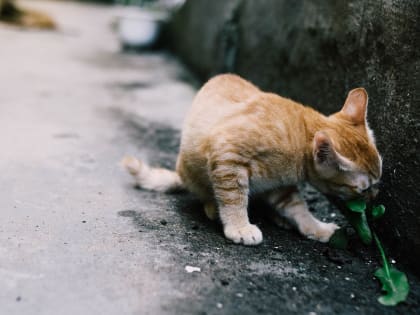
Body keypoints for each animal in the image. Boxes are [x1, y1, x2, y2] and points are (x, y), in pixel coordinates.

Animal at [123, 74, 382, 247]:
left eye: (377, 182)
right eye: (362, 189)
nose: (374, 198)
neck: (299, 135)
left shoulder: (281, 184)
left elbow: (298, 208)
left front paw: (314, 227)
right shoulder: (227, 155)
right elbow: (233, 197)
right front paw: (239, 226)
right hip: (195, 171)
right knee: (208, 194)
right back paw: (213, 208)